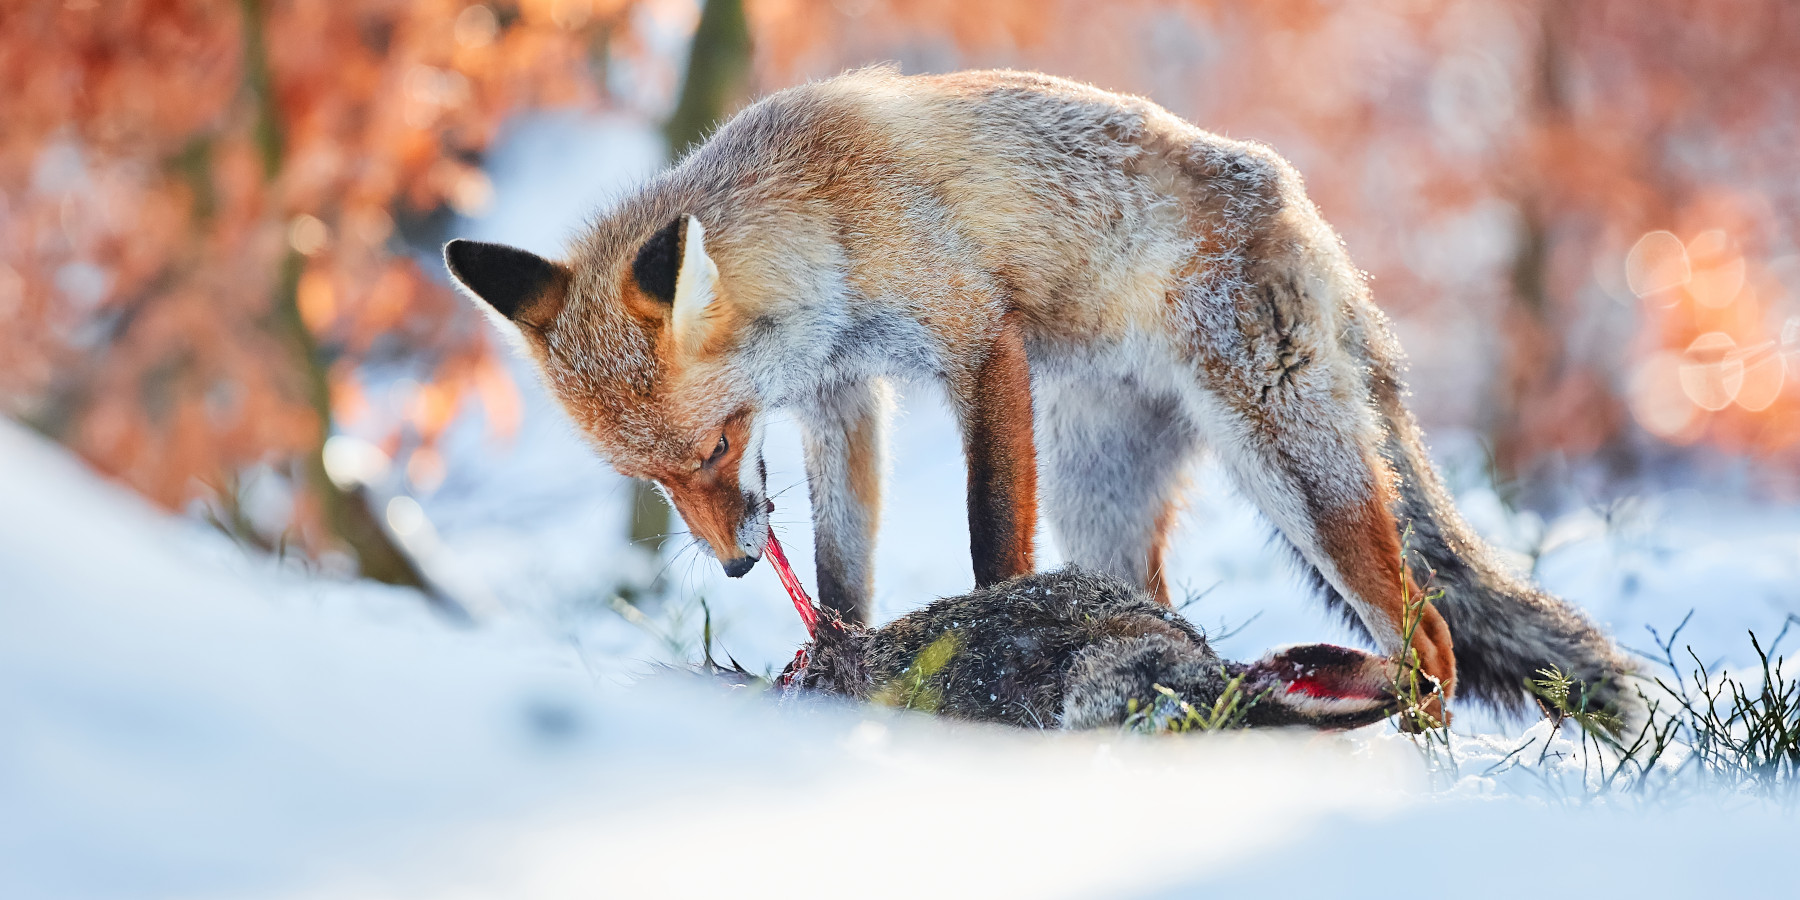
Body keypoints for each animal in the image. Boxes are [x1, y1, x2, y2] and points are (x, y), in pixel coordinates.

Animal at [445, 66, 1645, 727]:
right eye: (651, 475)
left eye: (711, 447)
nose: (738, 566)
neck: (822, 223)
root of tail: (1307, 215)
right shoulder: (843, 398)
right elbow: (842, 576)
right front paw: (838, 671)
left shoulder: (980, 345)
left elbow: (991, 547)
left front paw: (975, 673)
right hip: (1099, 504)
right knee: (1171, 613)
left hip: (1292, 469)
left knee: (1435, 644)